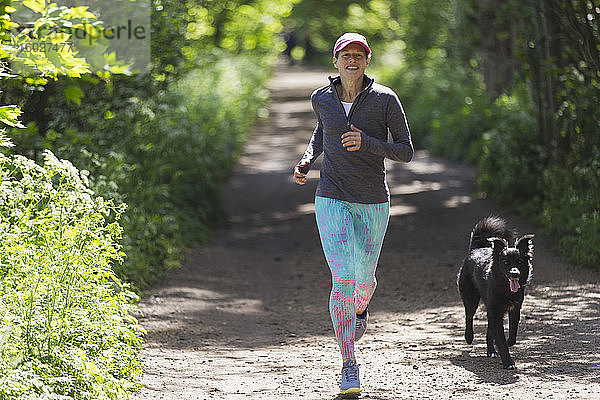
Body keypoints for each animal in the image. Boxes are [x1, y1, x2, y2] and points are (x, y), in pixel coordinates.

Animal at [460, 217, 536, 370]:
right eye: (505, 262)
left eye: (519, 261)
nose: (514, 274)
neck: (505, 288)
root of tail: (475, 249)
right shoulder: (495, 312)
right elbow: (500, 338)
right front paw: (508, 362)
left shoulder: (514, 309)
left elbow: (512, 334)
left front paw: (504, 344)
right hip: (471, 299)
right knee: (469, 316)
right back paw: (469, 337)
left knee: (488, 329)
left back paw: (491, 351)